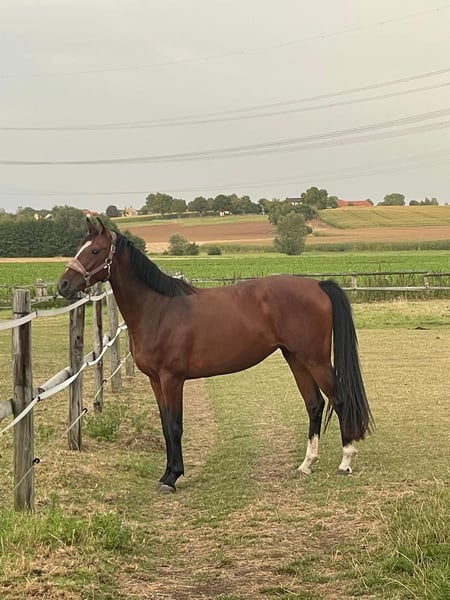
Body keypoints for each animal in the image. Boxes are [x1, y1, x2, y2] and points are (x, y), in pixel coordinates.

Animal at [58, 218, 373, 494]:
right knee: (315, 404)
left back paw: (345, 461)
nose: (63, 285)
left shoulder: (172, 379)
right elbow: (165, 426)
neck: (159, 309)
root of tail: (318, 285)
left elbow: (175, 426)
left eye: (95, 251)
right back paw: (306, 464)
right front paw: (166, 473)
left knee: (340, 399)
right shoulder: (155, 381)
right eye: (80, 247)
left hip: (315, 359)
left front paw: (172, 477)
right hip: (295, 358)